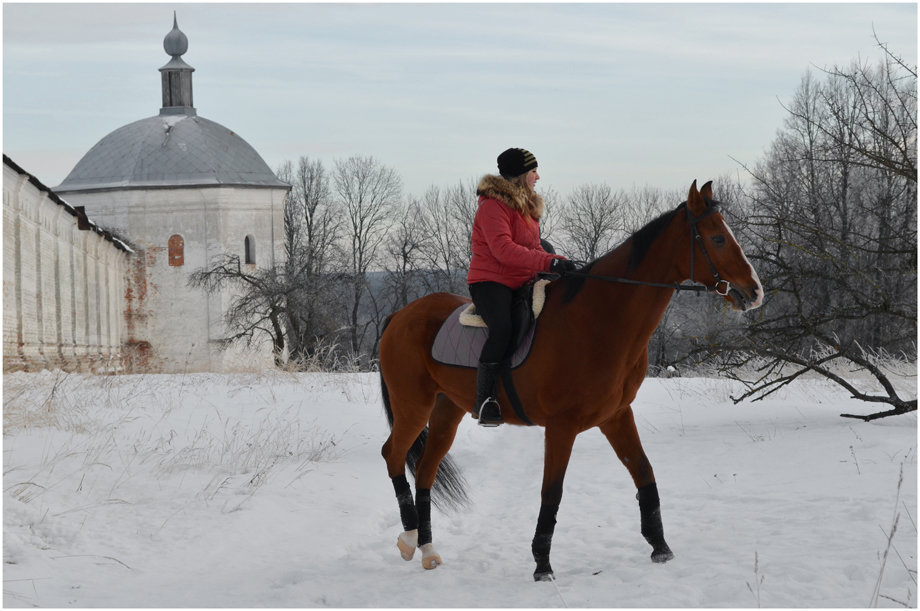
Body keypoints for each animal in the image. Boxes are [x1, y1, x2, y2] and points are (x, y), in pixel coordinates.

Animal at [378, 179, 764, 580]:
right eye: (717, 238)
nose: (755, 292)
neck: (597, 319)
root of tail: (400, 316)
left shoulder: (617, 416)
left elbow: (644, 474)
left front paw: (660, 548)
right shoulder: (561, 426)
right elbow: (552, 492)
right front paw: (542, 565)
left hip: (446, 410)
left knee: (425, 470)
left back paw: (427, 550)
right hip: (413, 405)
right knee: (394, 455)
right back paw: (409, 538)